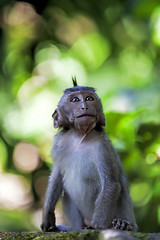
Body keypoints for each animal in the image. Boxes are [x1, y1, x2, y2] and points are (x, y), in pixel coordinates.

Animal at [40, 78, 137, 232]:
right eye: (75, 100)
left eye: (89, 99)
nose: (84, 107)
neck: (80, 138)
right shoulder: (59, 143)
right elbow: (57, 176)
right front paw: (48, 216)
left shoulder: (103, 147)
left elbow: (111, 185)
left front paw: (98, 226)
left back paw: (123, 225)